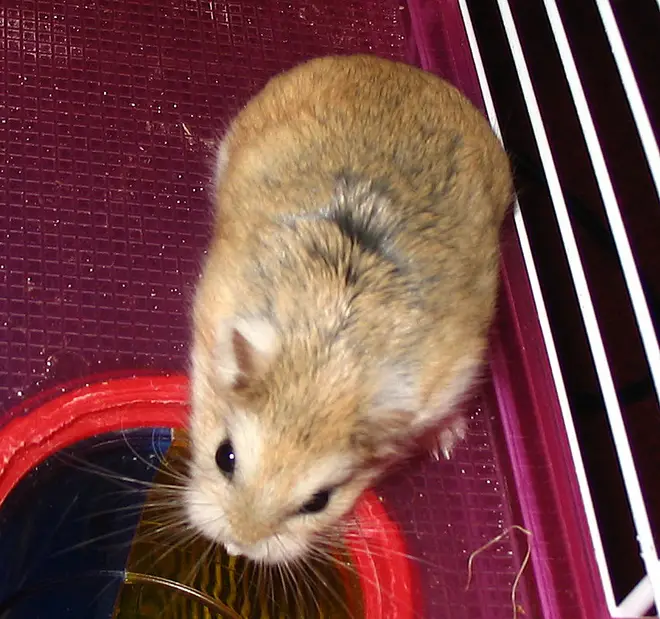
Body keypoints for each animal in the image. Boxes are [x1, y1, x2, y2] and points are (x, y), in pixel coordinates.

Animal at [185, 55, 512, 566]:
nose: (237, 545)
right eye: (224, 456)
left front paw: (445, 441)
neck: (323, 365)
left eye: (319, 501)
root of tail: (397, 70)